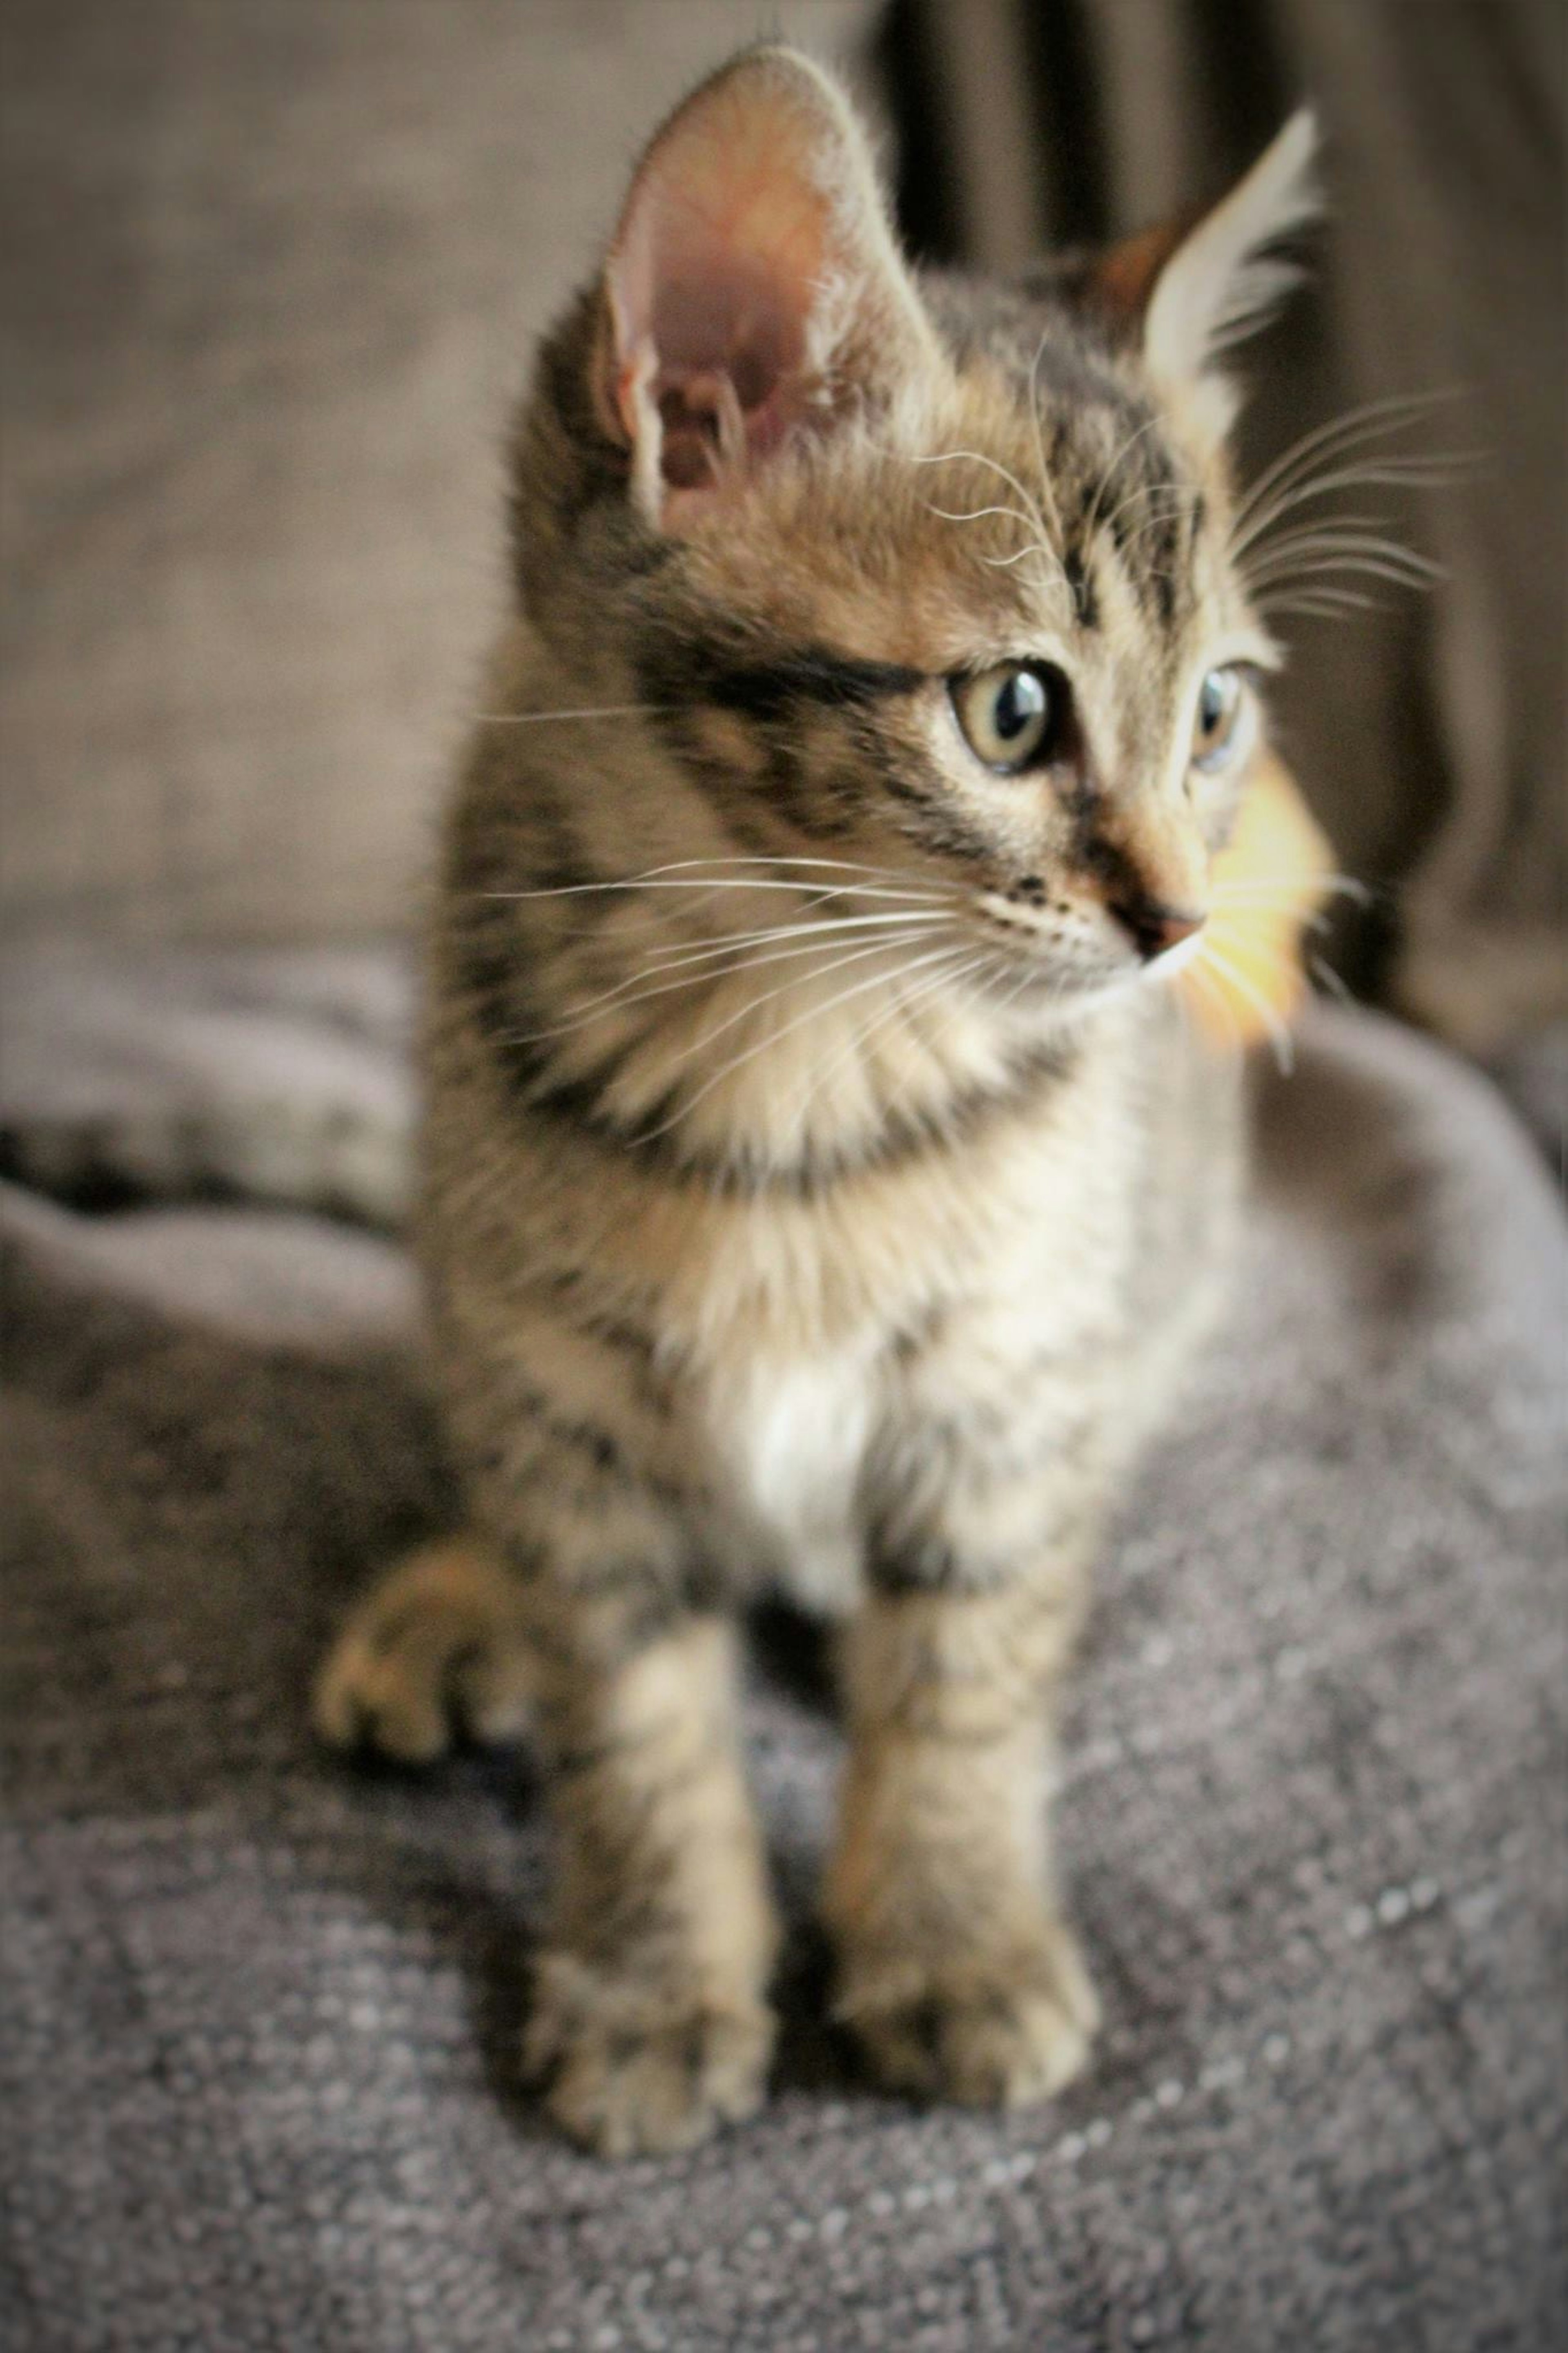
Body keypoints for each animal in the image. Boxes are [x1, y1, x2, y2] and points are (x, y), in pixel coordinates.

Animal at [312, 46, 1316, 2155]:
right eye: (1014, 711)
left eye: (1216, 714)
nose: (1183, 923)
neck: (791, 1042)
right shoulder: (566, 1396)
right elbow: (630, 1717)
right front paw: (654, 1979)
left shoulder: (1008, 1385)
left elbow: (963, 1685)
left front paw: (950, 1942)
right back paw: (460, 1598)